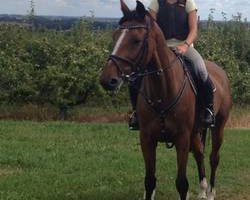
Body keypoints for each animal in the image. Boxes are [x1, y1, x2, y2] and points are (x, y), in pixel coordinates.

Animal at [99, 0, 232, 199]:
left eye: (136, 40)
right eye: (115, 37)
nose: (107, 80)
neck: (162, 91)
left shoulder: (182, 138)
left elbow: (182, 183)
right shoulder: (147, 139)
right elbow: (149, 181)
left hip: (218, 126)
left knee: (213, 158)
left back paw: (210, 192)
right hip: (196, 132)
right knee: (199, 154)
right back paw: (202, 190)